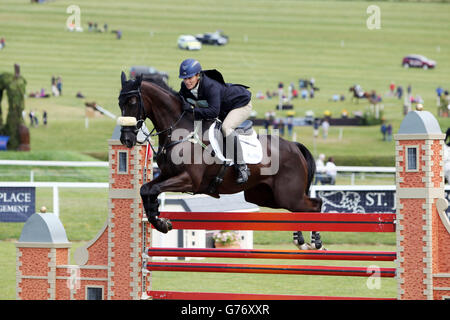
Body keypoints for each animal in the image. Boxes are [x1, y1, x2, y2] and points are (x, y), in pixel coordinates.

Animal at [118, 72, 324, 248]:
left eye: (133, 101)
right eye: (120, 102)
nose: (126, 140)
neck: (180, 130)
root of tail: (294, 146)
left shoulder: (189, 180)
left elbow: (153, 189)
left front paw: (161, 222)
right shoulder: (167, 175)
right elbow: (146, 189)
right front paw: (158, 218)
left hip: (288, 195)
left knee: (315, 204)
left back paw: (315, 242)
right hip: (266, 196)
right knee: (300, 209)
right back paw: (301, 240)